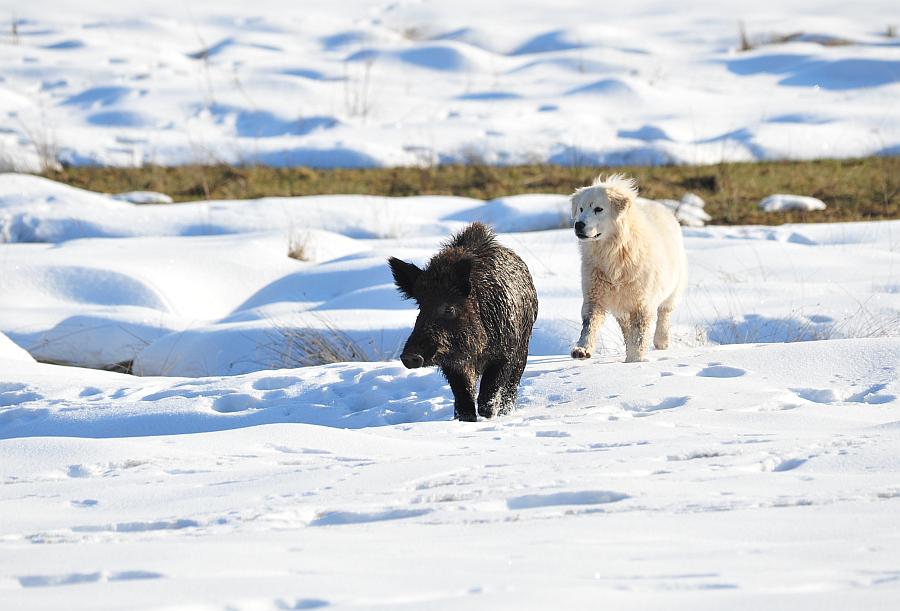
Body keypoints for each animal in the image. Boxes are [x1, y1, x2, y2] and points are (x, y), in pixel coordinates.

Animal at [568, 175, 688, 360]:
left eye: (598, 209)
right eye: (580, 209)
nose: (578, 225)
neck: (614, 253)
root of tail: (660, 206)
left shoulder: (641, 302)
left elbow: (639, 334)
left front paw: (635, 359)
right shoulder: (594, 295)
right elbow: (589, 324)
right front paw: (582, 349)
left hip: (673, 287)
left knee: (664, 313)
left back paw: (661, 340)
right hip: (620, 303)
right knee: (626, 326)